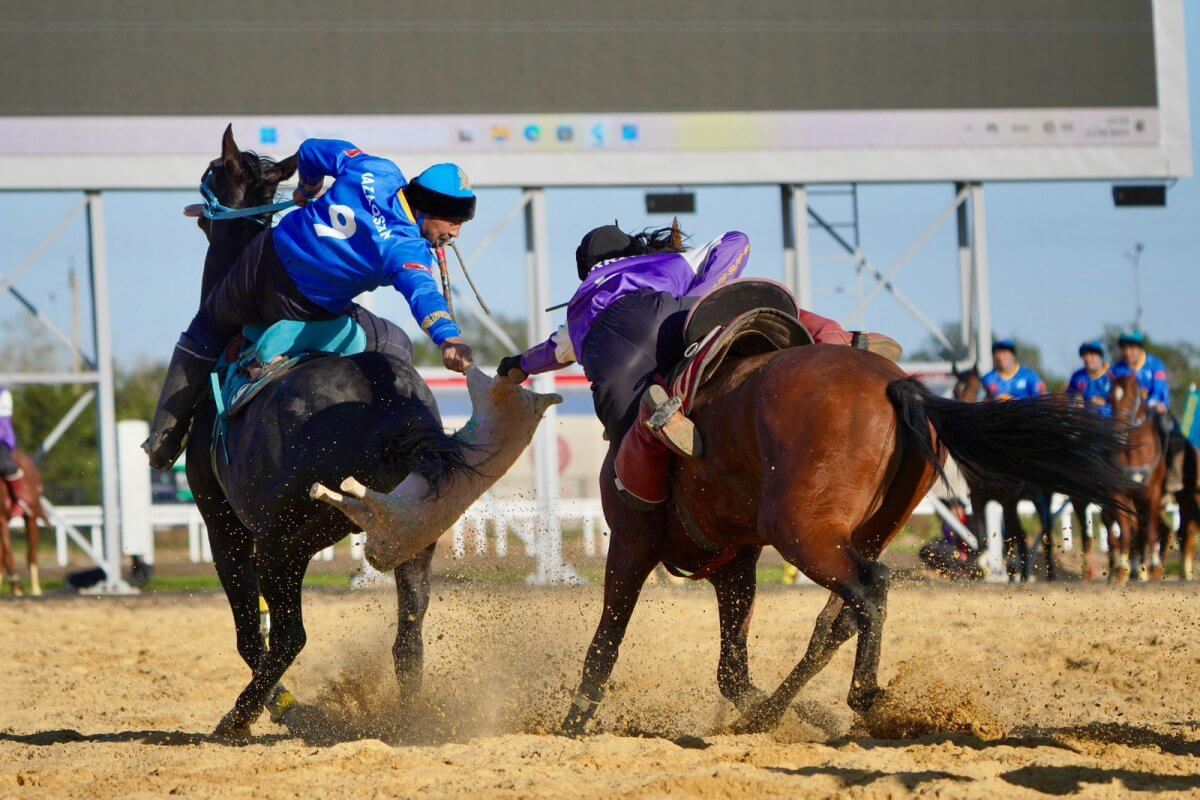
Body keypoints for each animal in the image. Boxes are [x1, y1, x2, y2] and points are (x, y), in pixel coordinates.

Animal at [0, 450, 47, 594]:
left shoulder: (1, 519)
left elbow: (6, 554)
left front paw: (17, 588)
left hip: (31, 517)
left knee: (31, 553)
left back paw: (35, 590)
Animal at [184, 130, 470, 738]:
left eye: (215, 170)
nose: (198, 209)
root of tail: (391, 415)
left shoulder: (224, 526)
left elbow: (251, 634)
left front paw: (283, 708)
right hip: (412, 539)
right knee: (408, 636)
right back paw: (409, 722)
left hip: (279, 546)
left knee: (288, 637)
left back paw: (240, 719)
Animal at [561, 345, 1132, 734]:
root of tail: (899, 387)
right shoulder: (735, 566)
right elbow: (731, 672)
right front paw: (784, 713)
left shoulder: (631, 545)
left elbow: (605, 644)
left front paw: (572, 722)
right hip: (863, 533)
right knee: (837, 622)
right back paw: (778, 713)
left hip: (804, 534)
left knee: (870, 589)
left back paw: (863, 695)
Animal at [1104, 371, 1161, 585]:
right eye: (1111, 397)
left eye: (1132, 397)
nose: (1117, 431)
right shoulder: (1120, 494)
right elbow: (1126, 532)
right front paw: (1122, 571)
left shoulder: (1152, 493)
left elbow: (1150, 531)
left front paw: (1153, 570)